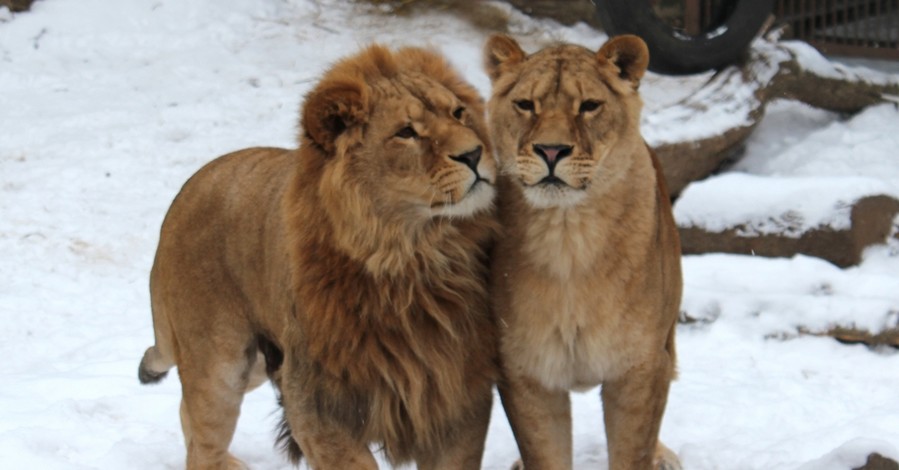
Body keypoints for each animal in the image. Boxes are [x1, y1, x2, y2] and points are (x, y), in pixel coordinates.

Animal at [142, 45, 506, 470]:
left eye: (458, 113)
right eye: (406, 133)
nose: (475, 153)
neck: (409, 257)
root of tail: (189, 187)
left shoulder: (457, 393)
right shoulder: (315, 402)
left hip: (256, 364)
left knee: (188, 417)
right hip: (220, 366)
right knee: (204, 443)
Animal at [486, 34, 684, 470]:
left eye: (589, 106)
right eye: (525, 105)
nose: (551, 151)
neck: (567, 235)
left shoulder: (639, 367)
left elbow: (633, 452)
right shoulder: (526, 373)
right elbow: (545, 455)